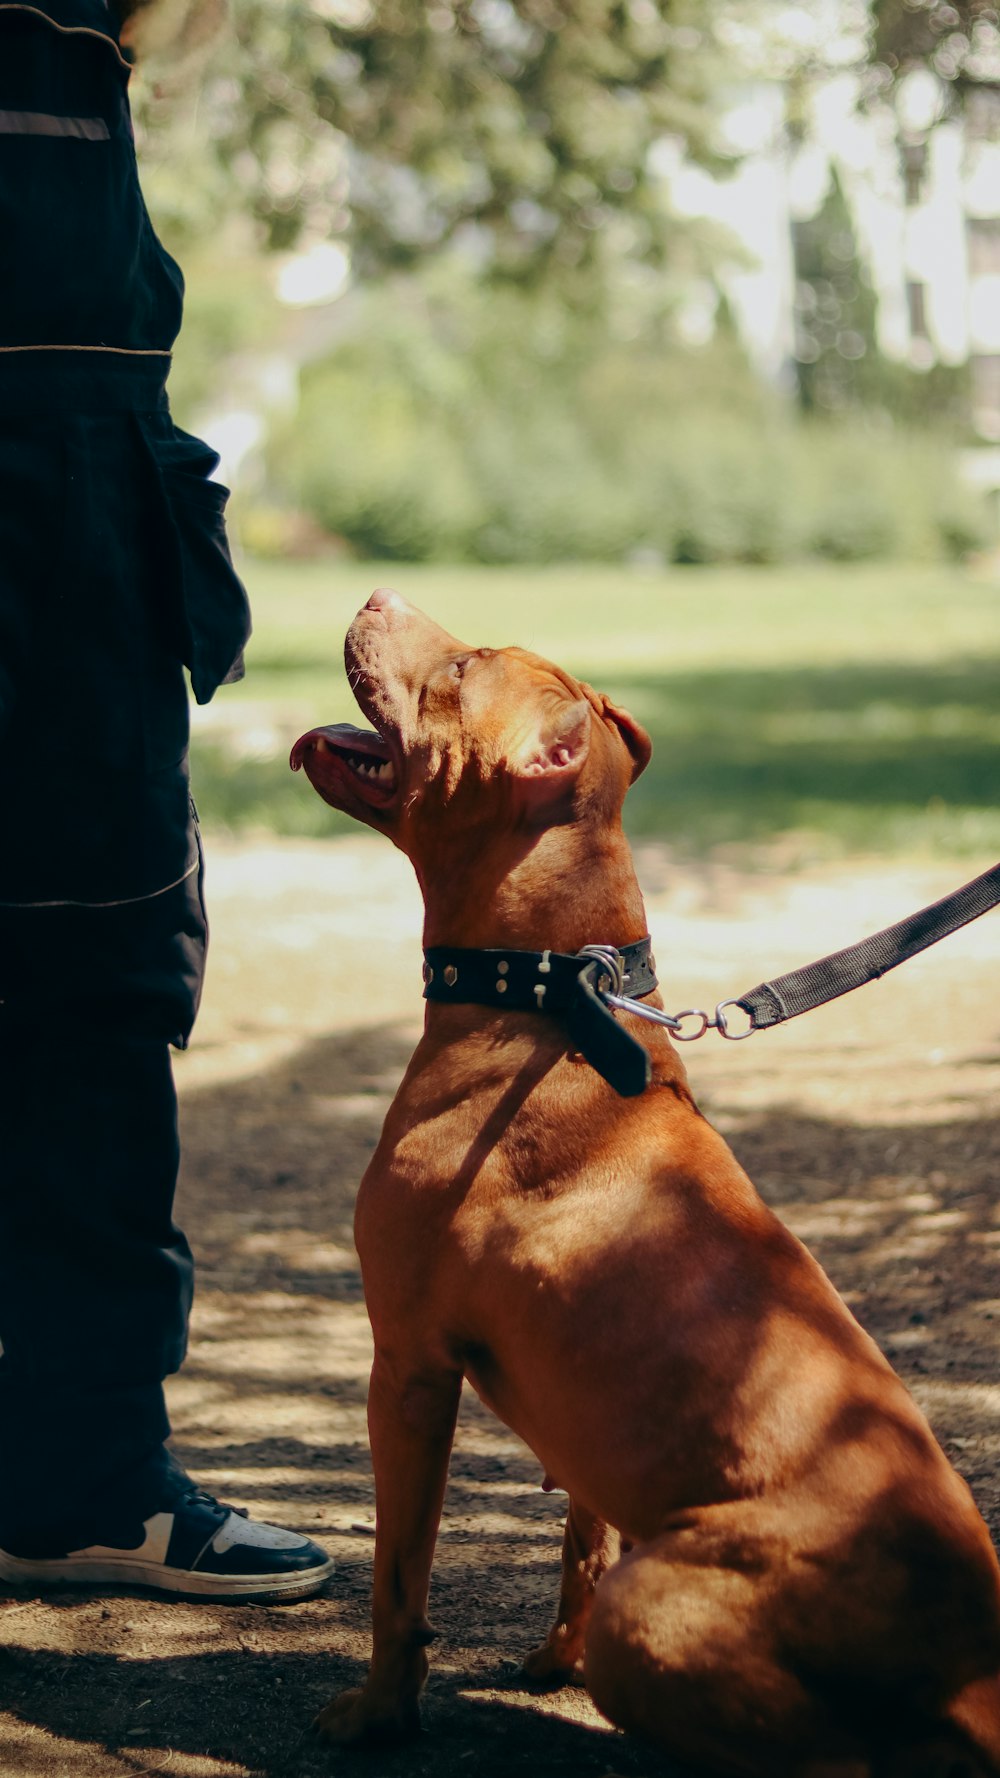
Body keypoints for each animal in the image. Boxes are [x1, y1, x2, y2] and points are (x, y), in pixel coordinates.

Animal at [291, 590, 996, 1770]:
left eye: (463, 666)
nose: (380, 597)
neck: (550, 1003)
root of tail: (969, 1662)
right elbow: (581, 1533)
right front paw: (552, 1659)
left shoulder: (407, 1364)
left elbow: (399, 1577)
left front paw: (378, 1713)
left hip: (659, 1608)